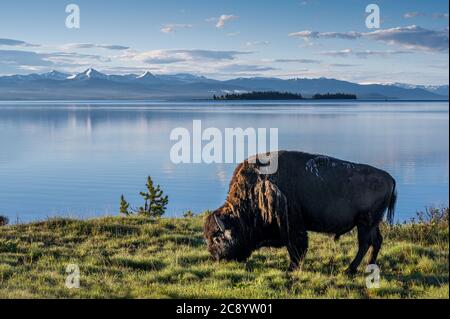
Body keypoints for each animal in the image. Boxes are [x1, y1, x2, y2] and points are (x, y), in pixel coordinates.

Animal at [204, 151, 398, 276]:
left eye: (217, 239)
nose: (214, 257)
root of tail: (389, 178)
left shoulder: (292, 226)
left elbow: (296, 247)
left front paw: (292, 268)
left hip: (365, 223)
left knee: (364, 243)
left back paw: (349, 270)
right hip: (373, 223)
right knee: (376, 241)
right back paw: (369, 266)